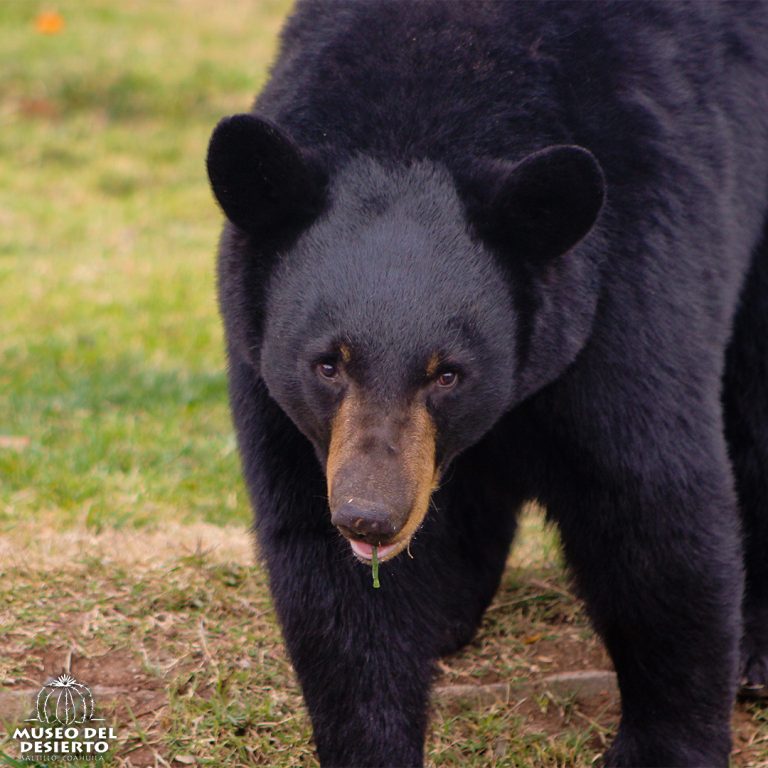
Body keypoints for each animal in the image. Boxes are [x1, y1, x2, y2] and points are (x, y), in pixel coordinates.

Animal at [207, 3, 768, 764]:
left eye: (448, 372)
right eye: (328, 363)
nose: (370, 516)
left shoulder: (629, 286)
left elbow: (652, 506)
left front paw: (668, 742)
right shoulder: (276, 390)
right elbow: (327, 577)